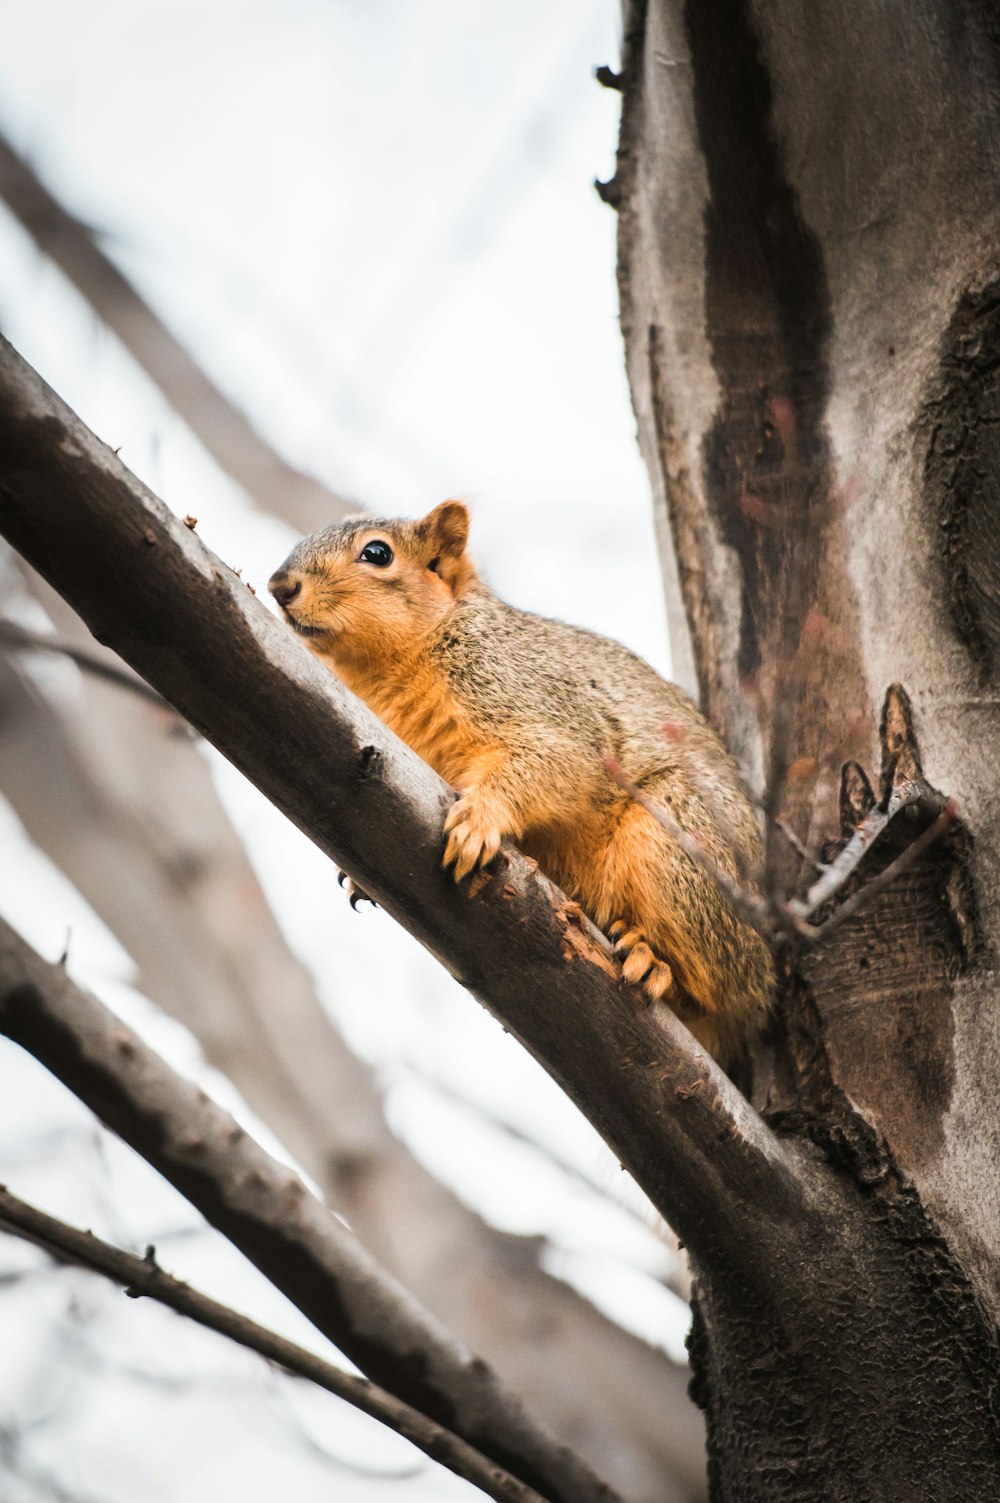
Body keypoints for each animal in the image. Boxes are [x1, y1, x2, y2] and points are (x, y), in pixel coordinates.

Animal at [269, 498, 775, 1064]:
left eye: (377, 553)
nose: (279, 585)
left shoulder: (528, 693)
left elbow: (560, 761)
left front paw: (480, 817)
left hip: (674, 844)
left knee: (724, 990)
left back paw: (655, 962)